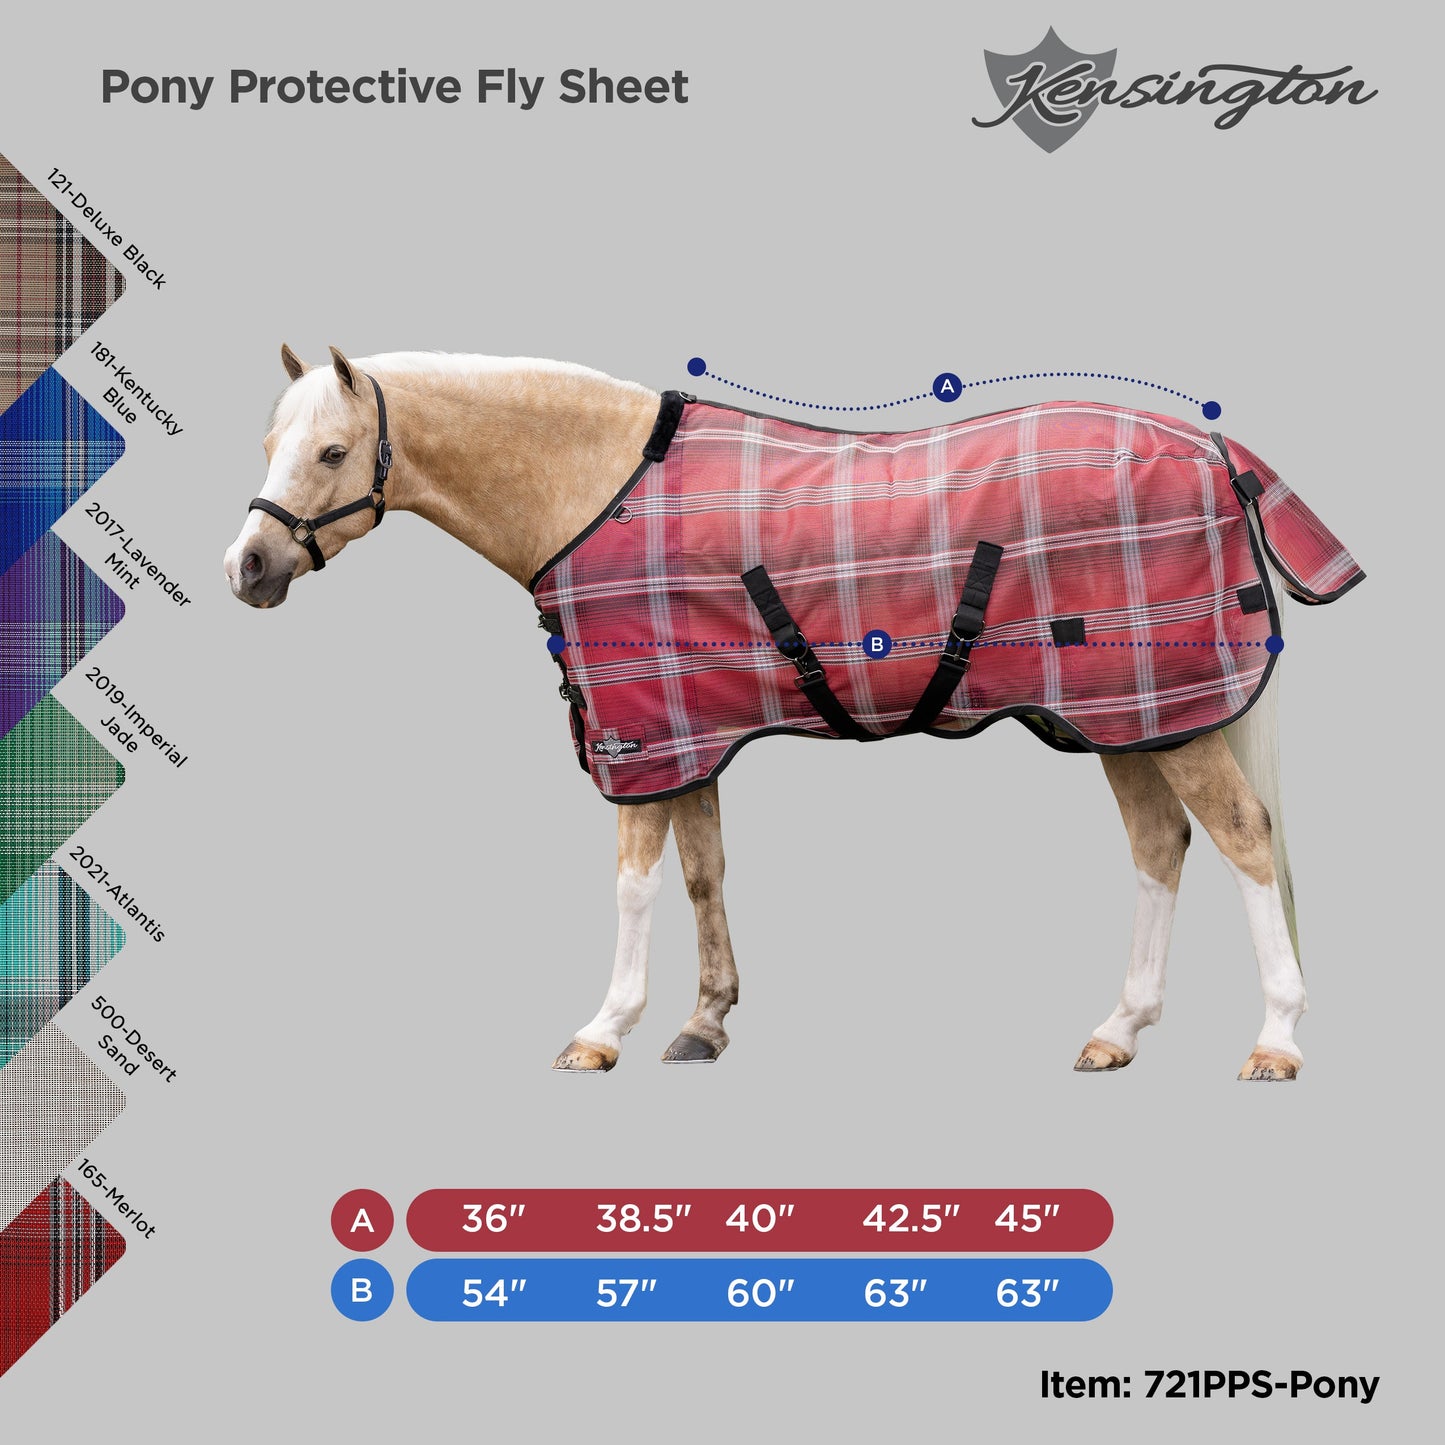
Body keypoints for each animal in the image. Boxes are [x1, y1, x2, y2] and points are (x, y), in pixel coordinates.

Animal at [224, 345, 1356, 1081]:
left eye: (332, 452)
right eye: (272, 439)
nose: (248, 567)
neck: (592, 489)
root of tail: (1217, 454)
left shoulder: (641, 738)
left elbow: (633, 886)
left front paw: (604, 1029)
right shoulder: (691, 735)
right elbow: (702, 873)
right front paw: (703, 1024)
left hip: (1164, 718)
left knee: (1242, 838)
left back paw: (1276, 1039)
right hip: (1128, 720)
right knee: (1159, 845)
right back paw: (1118, 1027)